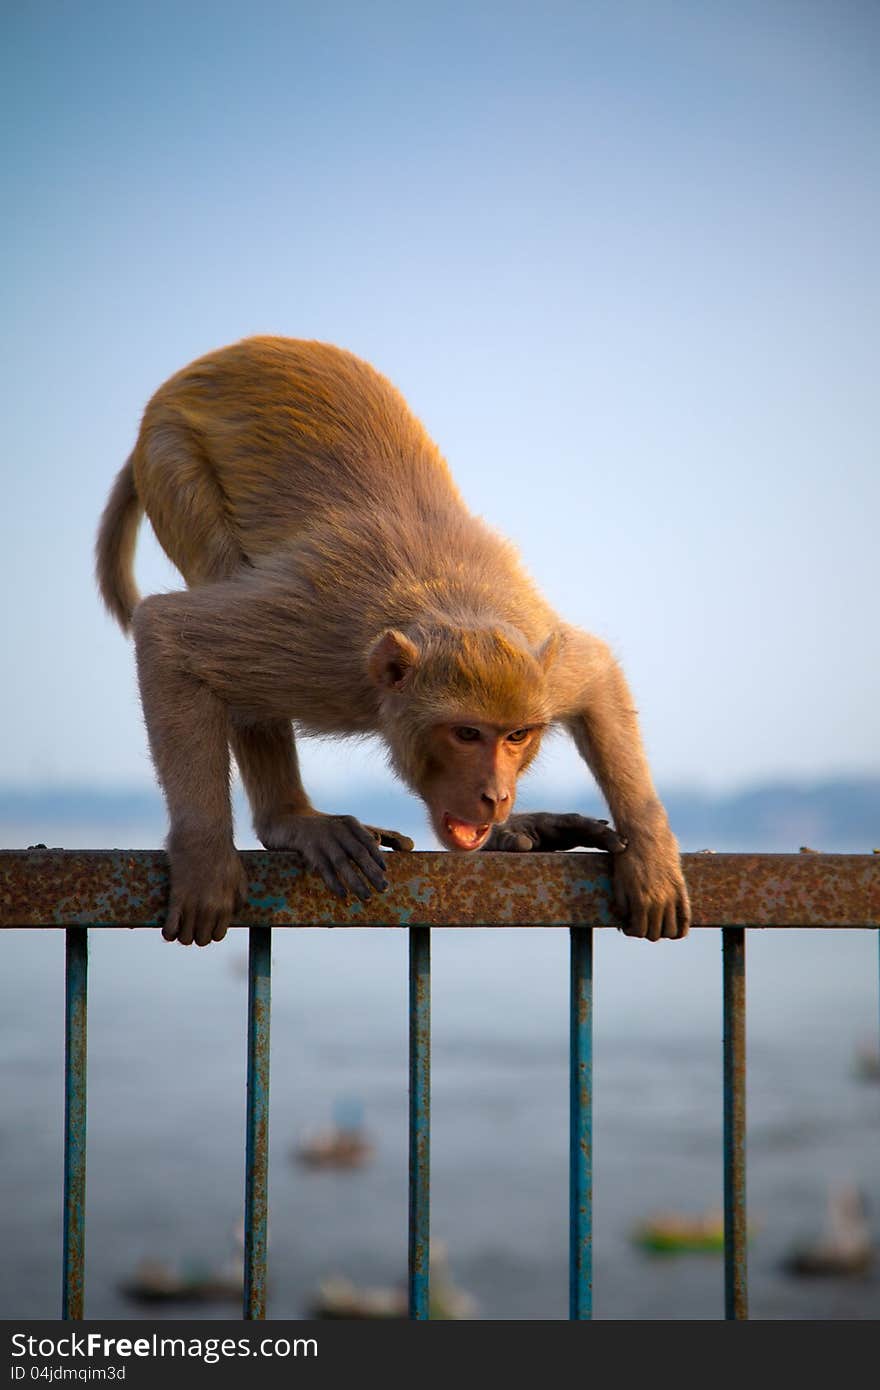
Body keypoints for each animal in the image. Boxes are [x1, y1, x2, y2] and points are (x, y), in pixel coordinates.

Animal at [94, 333, 686, 945]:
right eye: (467, 734)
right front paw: (205, 859)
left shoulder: (539, 663)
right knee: (219, 586)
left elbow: (596, 673)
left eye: (517, 736)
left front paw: (651, 854)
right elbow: (169, 634)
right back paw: (291, 820)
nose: (496, 795)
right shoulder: (320, 648)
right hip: (172, 457)